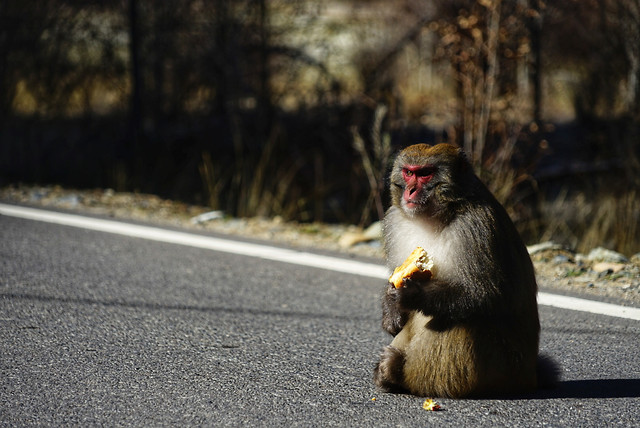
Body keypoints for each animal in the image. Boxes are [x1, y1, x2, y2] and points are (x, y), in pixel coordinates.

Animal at [372, 143, 556, 398]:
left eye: (425, 173)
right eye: (409, 172)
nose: (410, 190)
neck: (438, 216)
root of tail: (530, 378)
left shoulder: (476, 227)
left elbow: (486, 295)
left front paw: (411, 294)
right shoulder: (394, 220)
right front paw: (391, 309)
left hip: (498, 372)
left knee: (456, 320)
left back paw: (398, 373)